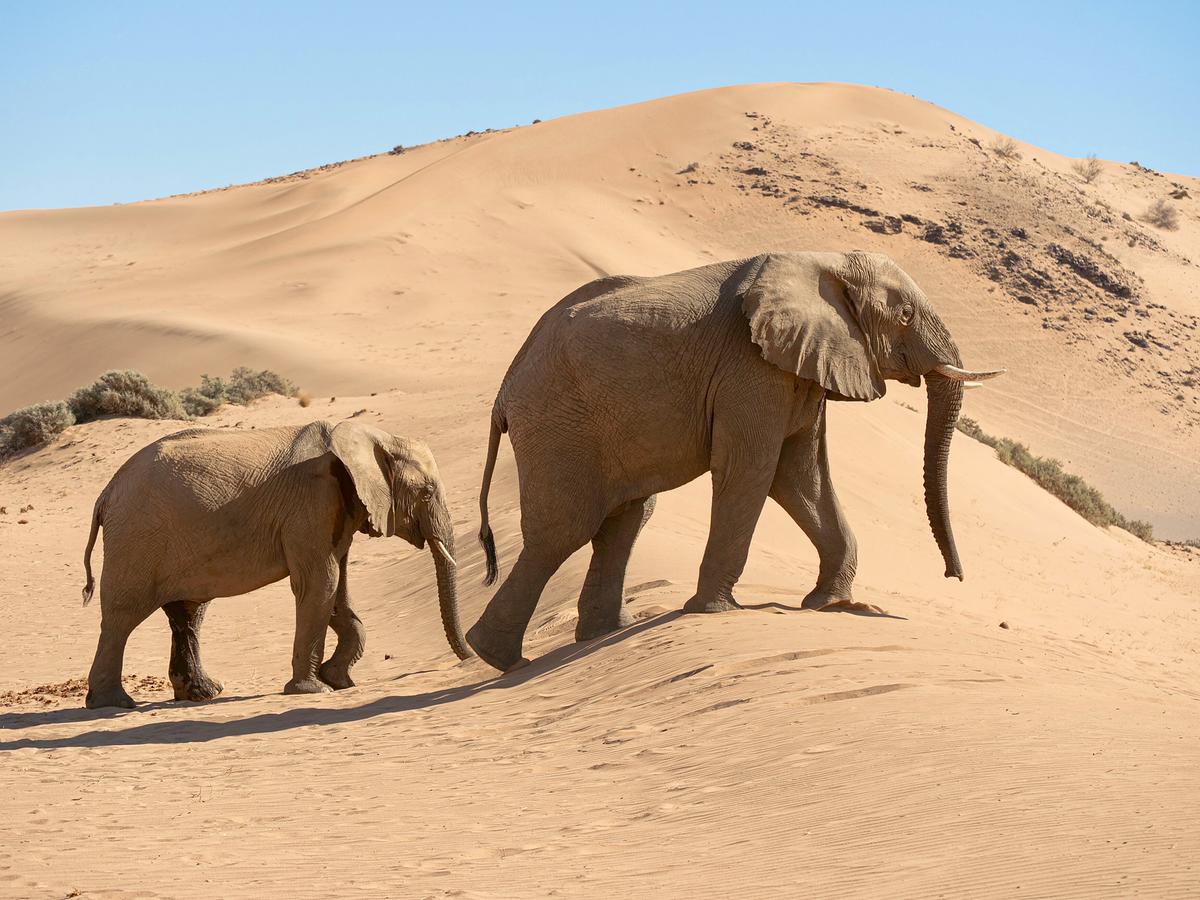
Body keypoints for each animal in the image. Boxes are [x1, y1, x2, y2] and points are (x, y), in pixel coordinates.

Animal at [82, 420, 468, 710]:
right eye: (426, 493)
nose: (466, 659)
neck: (368, 436)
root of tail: (105, 494)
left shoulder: (338, 509)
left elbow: (338, 589)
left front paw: (337, 679)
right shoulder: (311, 504)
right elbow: (321, 583)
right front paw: (315, 690)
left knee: (188, 614)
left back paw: (203, 694)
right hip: (136, 540)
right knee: (121, 618)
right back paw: (113, 704)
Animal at [468, 250, 1003, 672]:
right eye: (907, 314)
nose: (955, 576)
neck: (825, 261)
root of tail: (503, 390)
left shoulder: (798, 368)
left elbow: (801, 477)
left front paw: (828, 604)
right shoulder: (751, 368)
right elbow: (754, 470)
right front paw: (714, 612)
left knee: (625, 518)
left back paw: (602, 635)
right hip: (556, 424)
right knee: (566, 530)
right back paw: (499, 658)